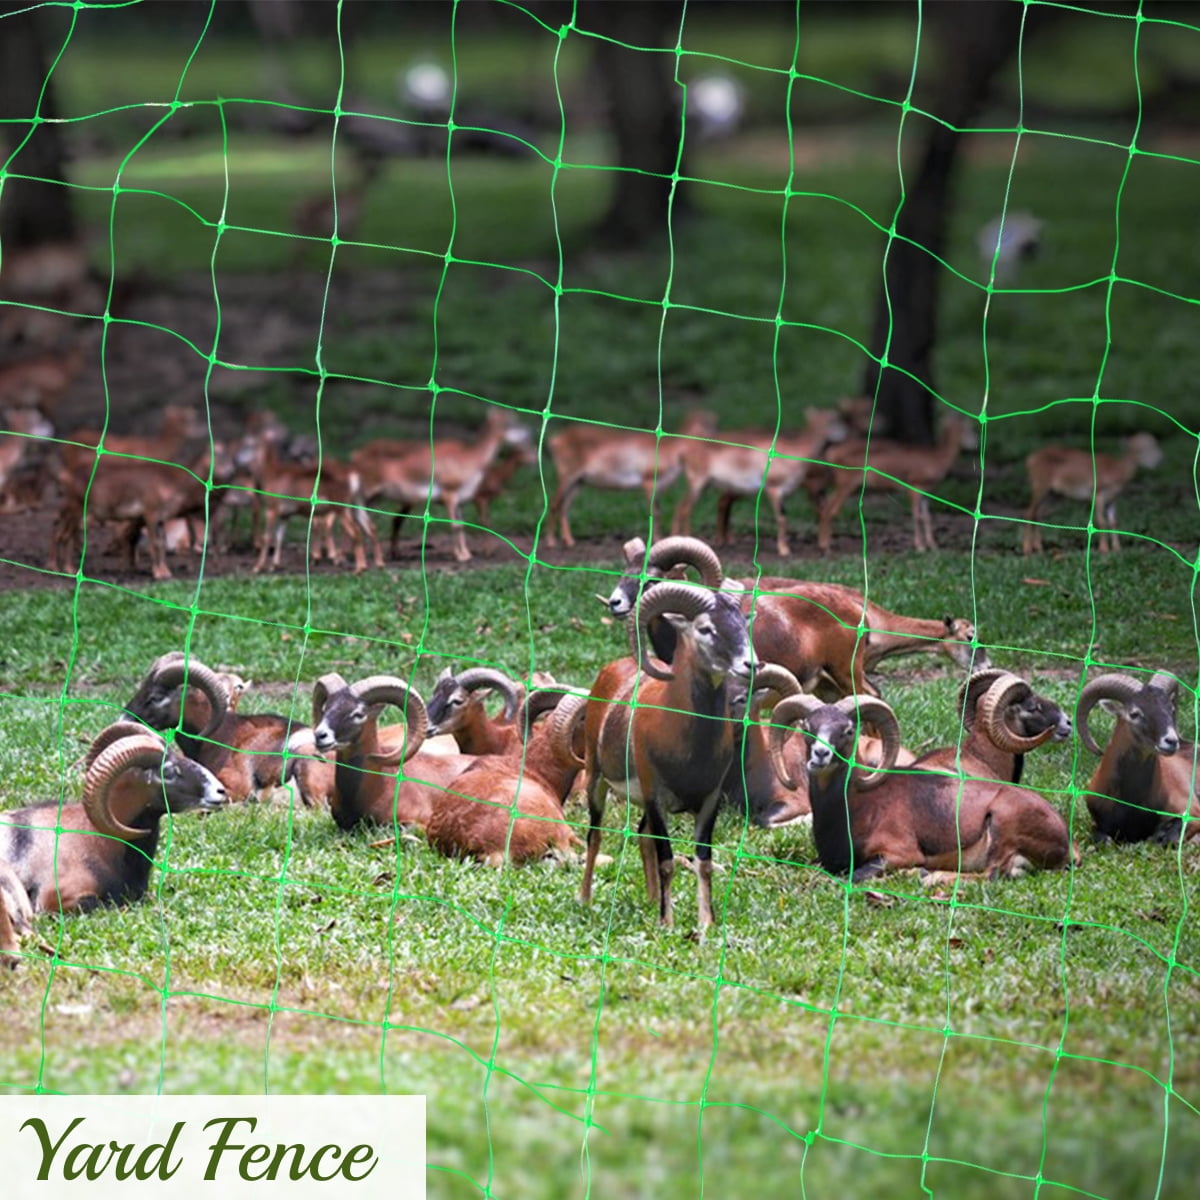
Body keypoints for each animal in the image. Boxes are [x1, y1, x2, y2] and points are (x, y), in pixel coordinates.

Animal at [1022, 432, 1162, 555]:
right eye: (1140, 449)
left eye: (1155, 445)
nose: (1158, 460)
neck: (1116, 470)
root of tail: (1031, 459)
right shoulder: (1099, 493)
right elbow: (1101, 521)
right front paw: (1104, 549)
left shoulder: (1112, 499)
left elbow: (1113, 522)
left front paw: (1117, 548)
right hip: (1040, 486)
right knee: (1029, 512)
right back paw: (1027, 549)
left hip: (1054, 494)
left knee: (1038, 514)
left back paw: (1038, 547)